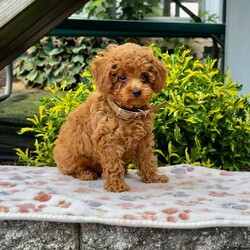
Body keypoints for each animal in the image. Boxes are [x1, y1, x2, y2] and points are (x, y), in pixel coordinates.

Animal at [53, 42, 169, 191]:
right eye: (122, 77)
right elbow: (113, 165)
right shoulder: (109, 141)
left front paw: (153, 178)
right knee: (72, 170)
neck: (127, 112)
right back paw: (86, 174)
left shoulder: (144, 139)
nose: (137, 91)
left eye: (144, 76)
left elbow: (147, 159)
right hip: (72, 157)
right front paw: (116, 185)